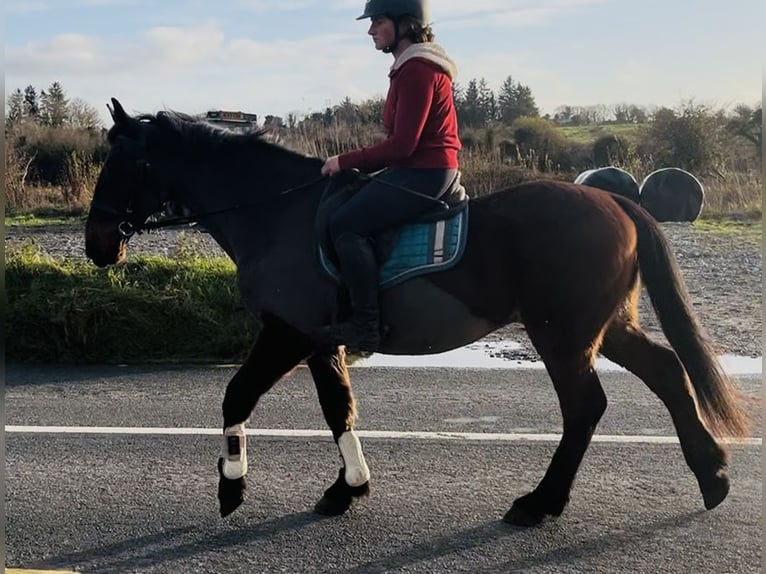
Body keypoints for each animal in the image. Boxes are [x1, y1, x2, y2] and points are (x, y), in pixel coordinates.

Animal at [85, 98, 750, 527]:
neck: (279, 213)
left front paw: (232, 485)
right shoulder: (322, 340)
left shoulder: (288, 332)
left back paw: (541, 502)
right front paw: (348, 488)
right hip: (604, 327)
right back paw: (712, 475)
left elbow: (237, 395)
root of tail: (616, 199)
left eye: (125, 164)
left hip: (562, 335)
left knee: (587, 406)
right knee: (666, 371)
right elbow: (338, 408)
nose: (97, 245)